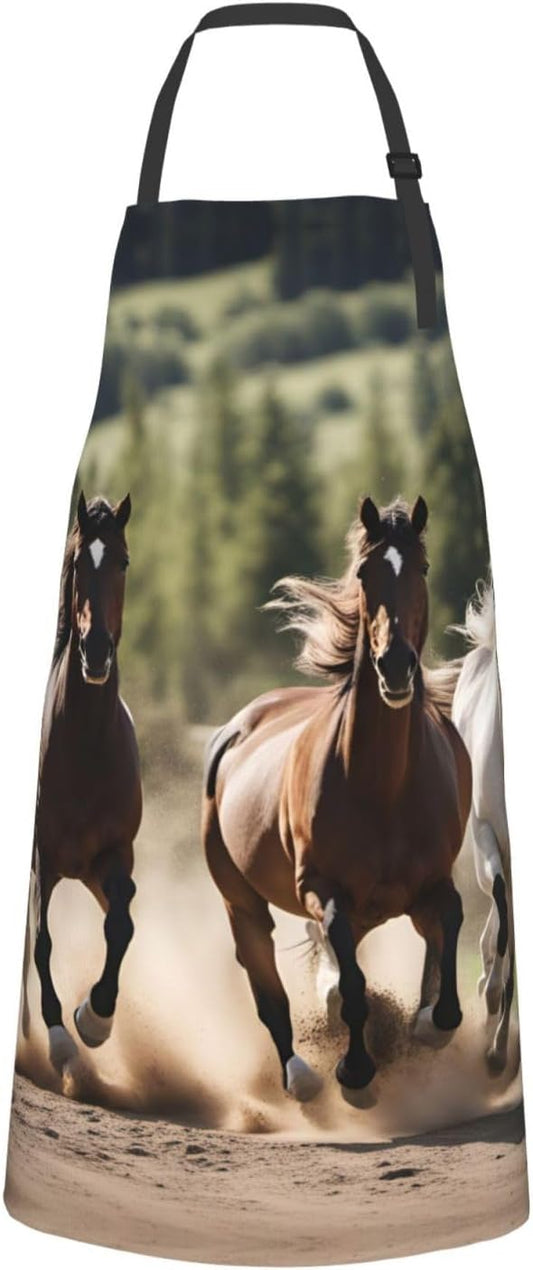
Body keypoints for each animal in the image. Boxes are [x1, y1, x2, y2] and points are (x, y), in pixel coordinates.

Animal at [202, 496, 472, 1101]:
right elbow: (350, 985)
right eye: (365, 572)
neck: (384, 786)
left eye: (421, 568)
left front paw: (428, 1024)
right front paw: (355, 1074)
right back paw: (301, 1076)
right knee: (269, 988)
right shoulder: (324, 893)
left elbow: (450, 928)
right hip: (241, 901)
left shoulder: (432, 883)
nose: (395, 666)